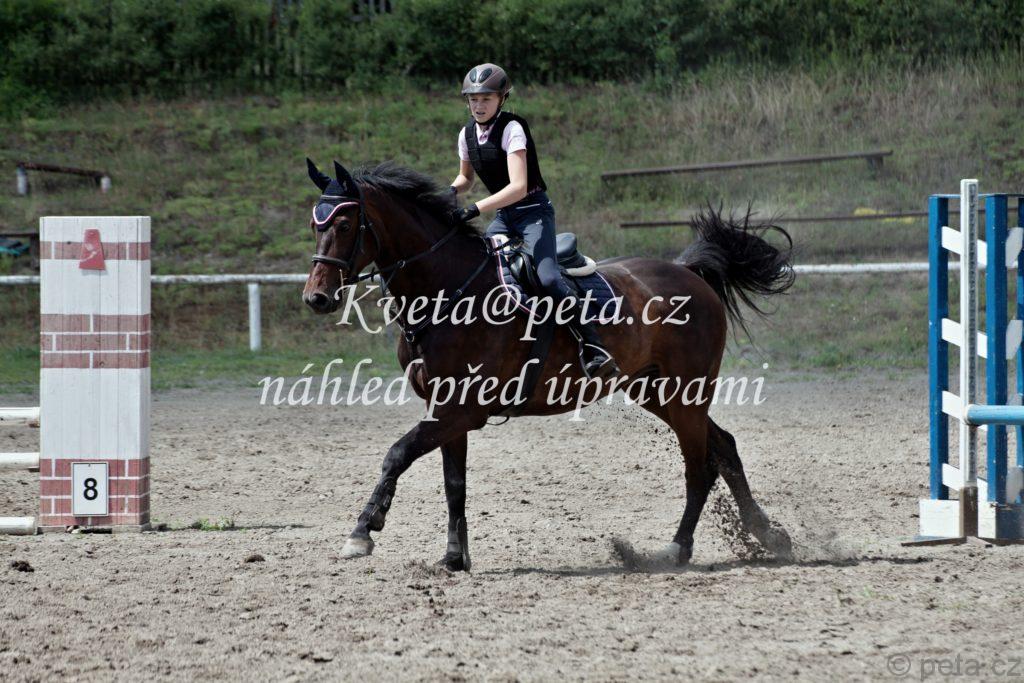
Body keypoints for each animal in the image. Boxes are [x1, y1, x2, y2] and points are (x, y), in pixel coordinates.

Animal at [302, 159, 796, 571]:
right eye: (314, 224)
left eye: (344, 223)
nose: (317, 298)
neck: (450, 290)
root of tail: (689, 272)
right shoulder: (445, 410)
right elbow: (453, 484)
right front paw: (454, 558)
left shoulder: (463, 408)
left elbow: (397, 454)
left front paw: (363, 531)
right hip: (656, 392)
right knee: (723, 448)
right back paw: (769, 536)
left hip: (684, 392)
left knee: (699, 466)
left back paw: (674, 550)